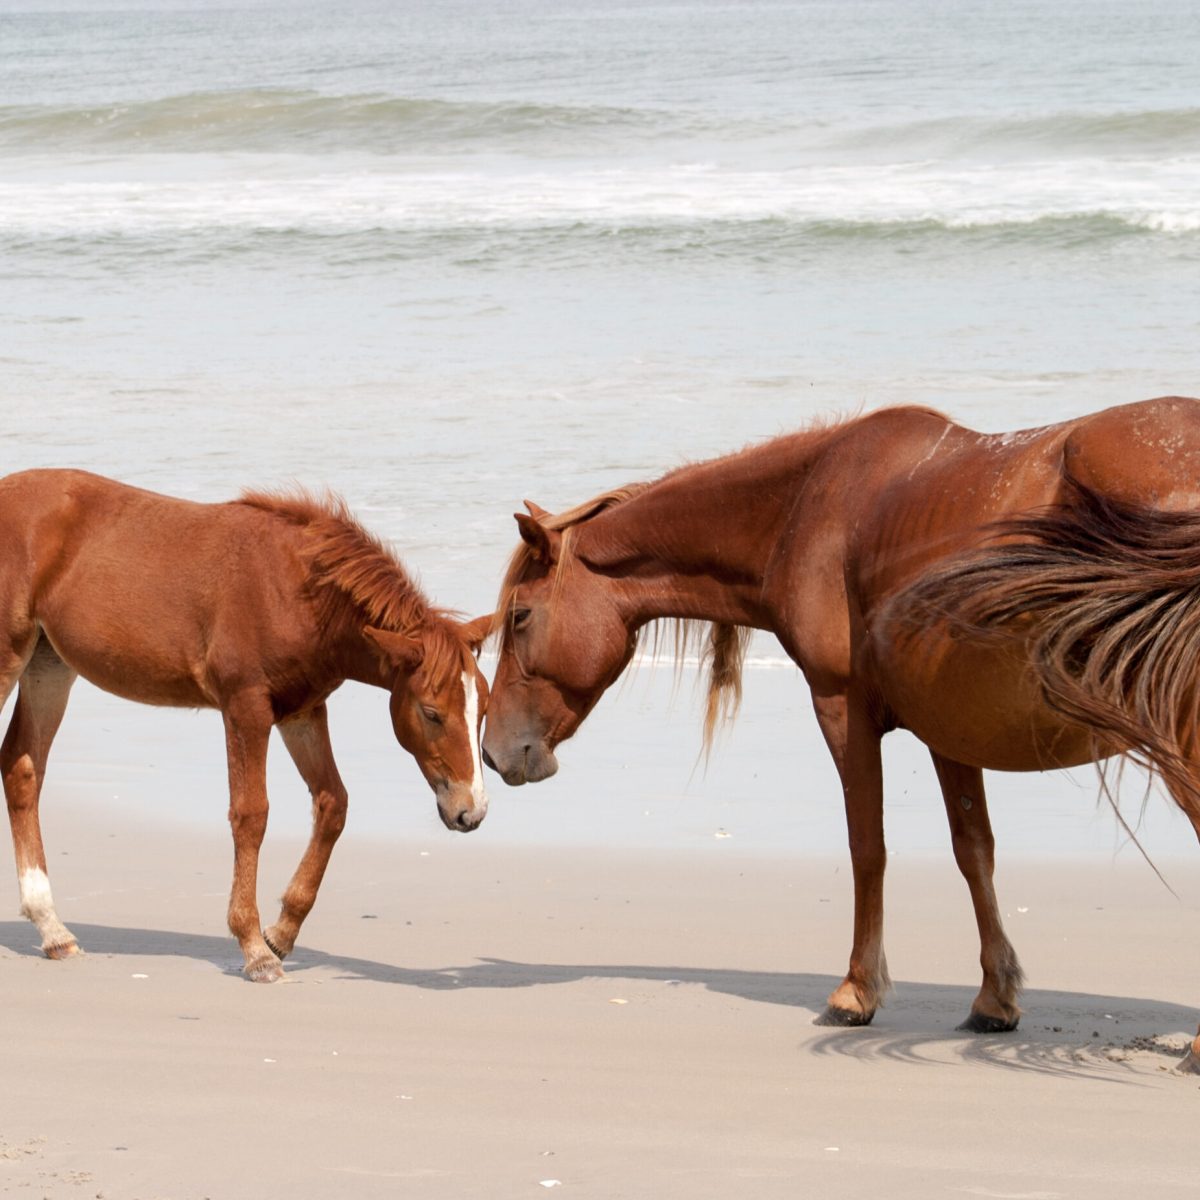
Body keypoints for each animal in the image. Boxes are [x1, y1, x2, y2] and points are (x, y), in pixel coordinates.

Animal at [0, 469, 491, 982]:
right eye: (432, 712)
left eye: (483, 709)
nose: (471, 811)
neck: (295, 591)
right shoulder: (245, 707)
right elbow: (251, 814)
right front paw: (255, 949)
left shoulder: (302, 711)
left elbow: (332, 803)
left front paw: (282, 933)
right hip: (9, 655)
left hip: (49, 664)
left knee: (22, 767)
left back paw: (54, 931)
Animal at [481, 395, 1200, 1071]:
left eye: (520, 617)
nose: (492, 751)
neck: (803, 508)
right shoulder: (949, 728)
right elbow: (974, 852)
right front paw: (995, 999)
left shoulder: (840, 706)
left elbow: (867, 848)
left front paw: (856, 992)